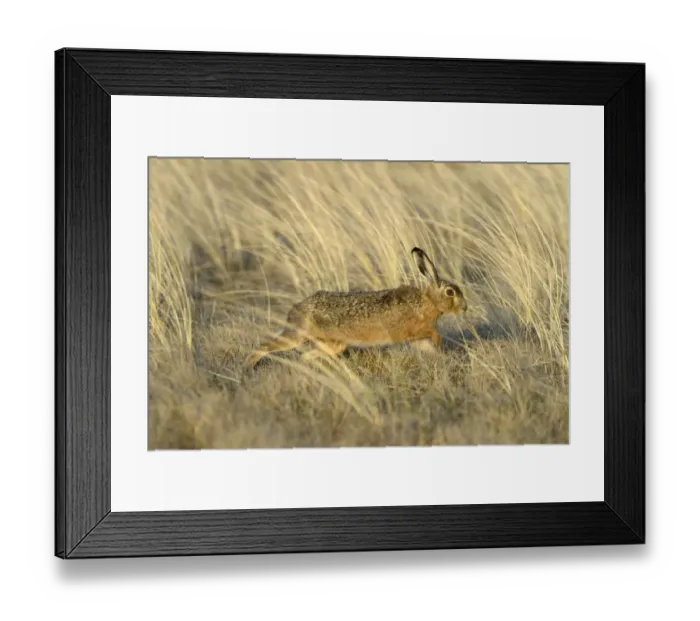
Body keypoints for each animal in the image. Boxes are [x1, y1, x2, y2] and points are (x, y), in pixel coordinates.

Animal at [244, 247, 467, 369]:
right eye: (450, 292)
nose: (464, 308)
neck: (428, 301)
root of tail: (295, 310)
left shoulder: (416, 338)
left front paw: (444, 358)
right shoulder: (410, 331)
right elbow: (433, 333)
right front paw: (440, 344)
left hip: (332, 344)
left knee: (306, 356)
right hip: (298, 336)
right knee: (266, 346)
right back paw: (248, 367)